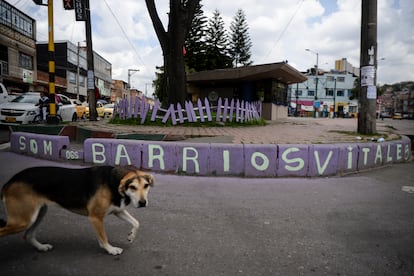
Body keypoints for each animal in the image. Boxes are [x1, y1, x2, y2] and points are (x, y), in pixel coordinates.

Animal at [0, 165, 154, 256]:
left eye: (146, 186)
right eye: (132, 187)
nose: (142, 203)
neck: (113, 181)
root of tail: (9, 182)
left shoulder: (118, 211)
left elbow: (136, 223)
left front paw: (131, 236)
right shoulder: (95, 217)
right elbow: (103, 236)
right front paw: (110, 249)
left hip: (38, 213)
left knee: (28, 235)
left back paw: (41, 247)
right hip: (23, 220)